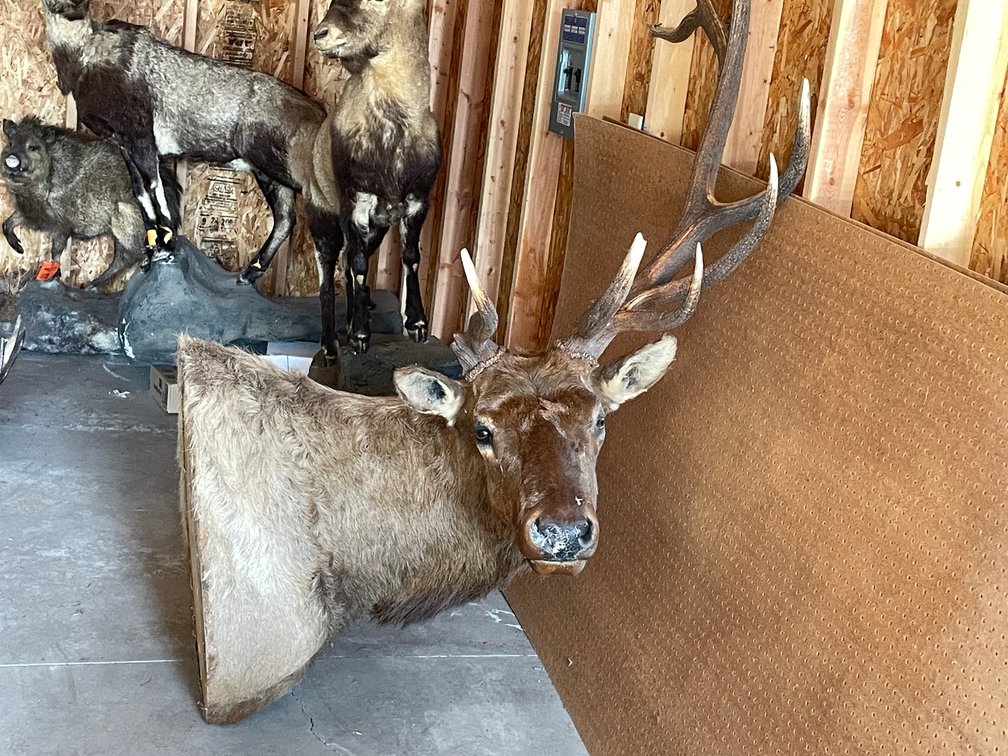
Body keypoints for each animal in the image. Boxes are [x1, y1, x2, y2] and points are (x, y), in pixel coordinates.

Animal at [312, 0, 443, 355]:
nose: (320, 34)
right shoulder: (356, 202)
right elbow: (358, 266)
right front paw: (360, 336)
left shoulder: (416, 201)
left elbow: (411, 257)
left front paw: (417, 324)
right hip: (324, 220)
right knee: (329, 277)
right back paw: (331, 345)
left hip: (378, 230)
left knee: (345, 266)